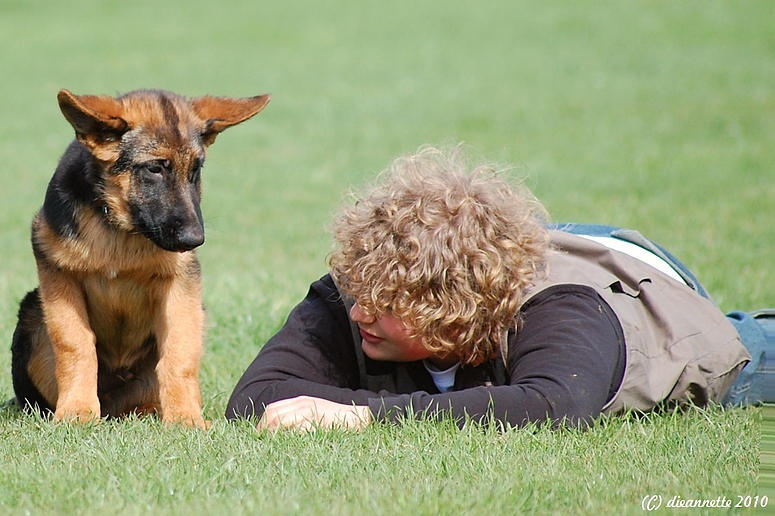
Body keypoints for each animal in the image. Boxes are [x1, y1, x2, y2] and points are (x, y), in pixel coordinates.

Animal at [7, 88, 270, 428]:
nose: (194, 240)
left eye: (196, 170)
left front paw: (185, 418)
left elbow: (179, 353)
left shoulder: (181, 284)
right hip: (32, 312)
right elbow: (75, 343)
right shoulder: (57, 272)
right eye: (154, 168)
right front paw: (77, 411)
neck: (121, 229)